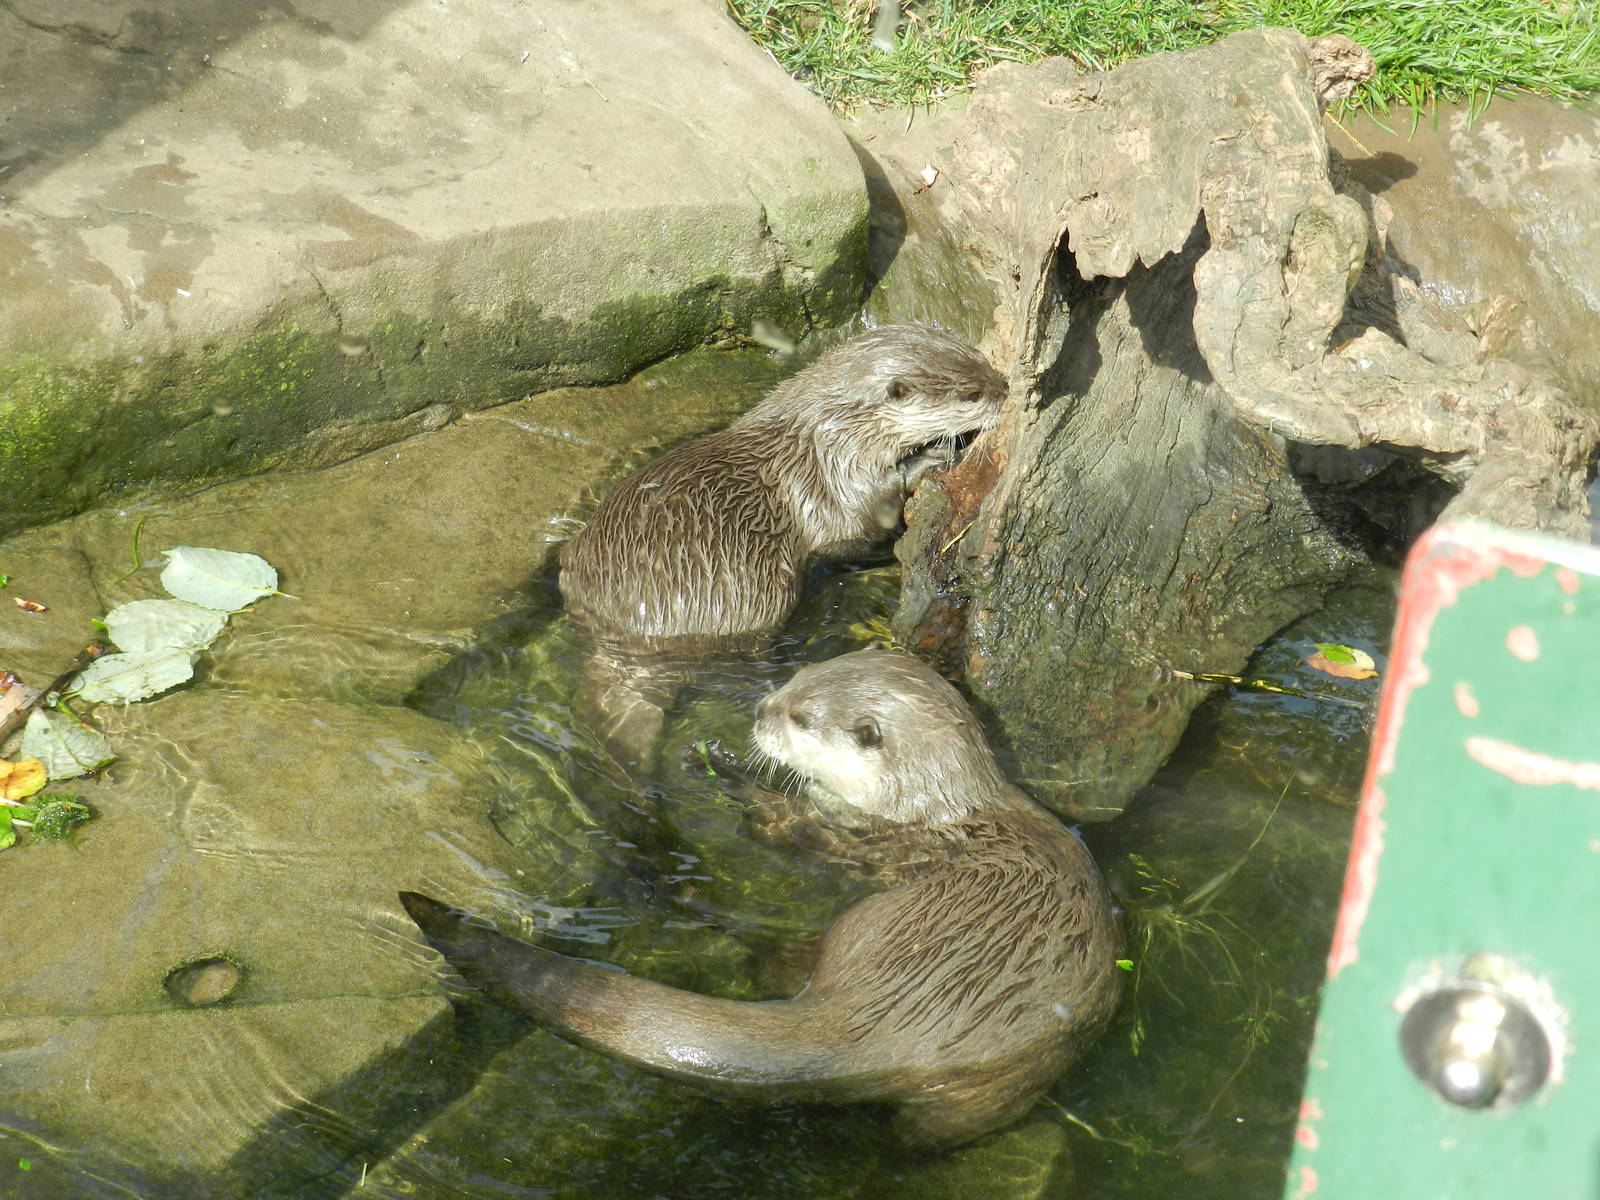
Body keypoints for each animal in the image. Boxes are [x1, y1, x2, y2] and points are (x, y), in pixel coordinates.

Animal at [399, 649, 1123, 1146]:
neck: (932, 807)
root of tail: (887, 1020)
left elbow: (788, 830)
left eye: (800, 718)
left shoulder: (861, 836)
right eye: (798, 676)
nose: (759, 711)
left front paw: (728, 773)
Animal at [557, 325, 1006, 772]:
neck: (831, 433)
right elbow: (869, 514)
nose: (1004, 388)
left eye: (983, 361)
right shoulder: (842, 477)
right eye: (972, 395)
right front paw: (933, 457)